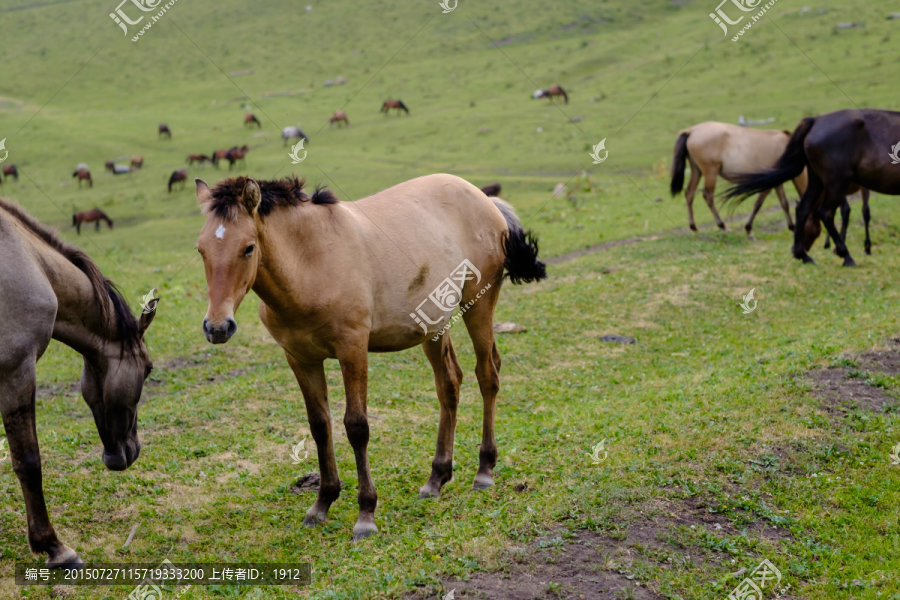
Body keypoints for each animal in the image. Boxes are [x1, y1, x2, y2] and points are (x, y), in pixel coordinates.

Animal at [0, 197, 158, 568]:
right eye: (148, 370)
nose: (131, 451)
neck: (29, 259)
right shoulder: (16, 370)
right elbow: (28, 462)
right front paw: (53, 547)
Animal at [196, 175, 544, 544]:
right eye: (201, 249)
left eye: (248, 248)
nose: (217, 327)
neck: (311, 263)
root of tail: (484, 199)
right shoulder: (300, 359)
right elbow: (320, 426)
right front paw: (322, 503)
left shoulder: (352, 349)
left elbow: (356, 426)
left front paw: (366, 514)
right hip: (434, 327)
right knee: (449, 385)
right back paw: (436, 479)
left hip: (479, 306)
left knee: (487, 374)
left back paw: (484, 470)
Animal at [668, 120, 808, 236]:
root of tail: (691, 131)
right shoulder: (768, 181)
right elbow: (758, 204)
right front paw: (748, 229)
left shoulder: (777, 183)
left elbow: (784, 203)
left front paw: (791, 227)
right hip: (710, 173)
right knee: (708, 196)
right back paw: (723, 226)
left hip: (697, 171)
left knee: (689, 193)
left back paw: (693, 226)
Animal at [724, 110, 900, 264]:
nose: (792, 250)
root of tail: (815, 120)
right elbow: (842, 212)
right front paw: (834, 246)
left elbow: (845, 212)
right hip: (836, 182)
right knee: (827, 212)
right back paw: (843, 254)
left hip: (834, 183)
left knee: (818, 209)